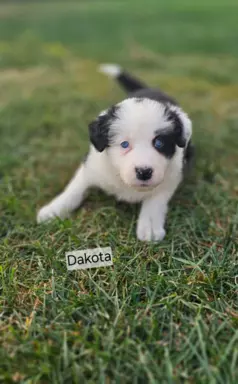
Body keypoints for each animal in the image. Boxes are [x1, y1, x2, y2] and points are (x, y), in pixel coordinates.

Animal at [37, 64, 193, 242]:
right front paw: (53, 210)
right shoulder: (92, 166)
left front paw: (150, 227)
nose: (144, 172)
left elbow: (156, 198)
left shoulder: (173, 175)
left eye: (159, 143)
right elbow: (74, 190)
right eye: (124, 144)